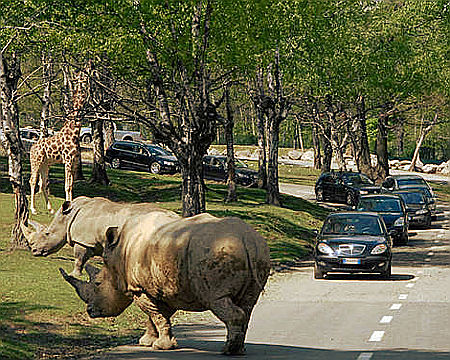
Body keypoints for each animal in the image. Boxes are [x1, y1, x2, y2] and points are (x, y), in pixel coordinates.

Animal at [28, 64, 89, 214]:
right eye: (82, 78)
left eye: (85, 76)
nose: (86, 83)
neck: (74, 132)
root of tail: (31, 148)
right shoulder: (67, 160)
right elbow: (66, 185)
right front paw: (68, 206)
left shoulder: (74, 162)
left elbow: (71, 185)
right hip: (36, 162)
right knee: (32, 181)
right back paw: (33, 209)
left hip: (45, 164)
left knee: (43, 183)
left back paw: (50, 209)